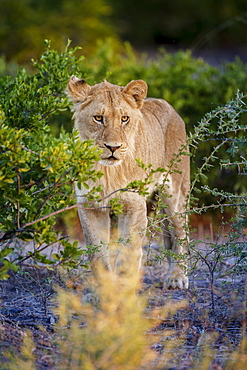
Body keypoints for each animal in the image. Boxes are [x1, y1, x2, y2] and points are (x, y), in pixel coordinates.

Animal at [66, 76, 190, 290]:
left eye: (124, 119)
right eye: (98, 118)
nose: (113, 147)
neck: (107, 171)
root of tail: (171, 108)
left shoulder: (134, 205)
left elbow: (127, 252)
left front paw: (123, 291)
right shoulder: (90, 206)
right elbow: (97, 254)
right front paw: (101, 292)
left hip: (175, 194)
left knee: (180, 233)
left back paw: (177, 277)